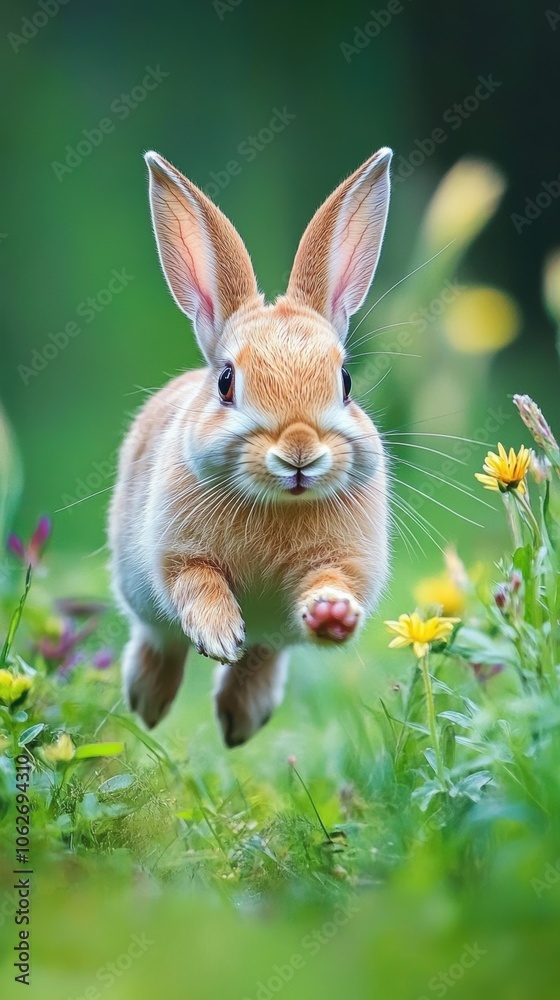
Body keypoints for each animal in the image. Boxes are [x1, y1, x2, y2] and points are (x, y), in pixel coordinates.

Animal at [109, 145, 392, 747]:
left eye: (346, 382)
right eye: (226, 382)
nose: (299, 451)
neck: (279, 501)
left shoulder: (344, 561)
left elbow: (330, 583)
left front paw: (333, 615)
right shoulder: (175, 556)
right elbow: (197, 583)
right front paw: (219, 636)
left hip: (269, 640)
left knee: (262, 653)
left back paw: (241, 721)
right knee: (160, 639)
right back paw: (148, 704)